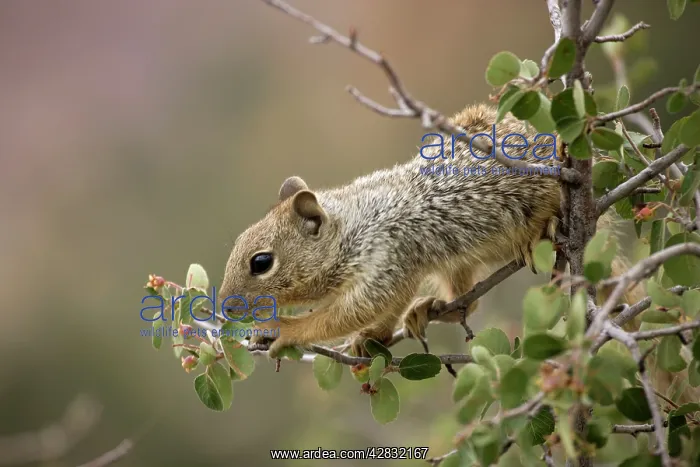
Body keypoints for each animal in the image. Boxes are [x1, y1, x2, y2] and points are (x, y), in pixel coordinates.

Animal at [219, 103, 635, 359]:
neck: (354, 224)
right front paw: (372, 336)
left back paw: (544, 231)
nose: (225, 306)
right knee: (468, 300)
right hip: (455, 263)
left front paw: (284, 328)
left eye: (261, 262)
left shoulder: (388, 255)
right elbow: (383, 308)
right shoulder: (406, 267)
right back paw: (431, 309)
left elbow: (349, 312)